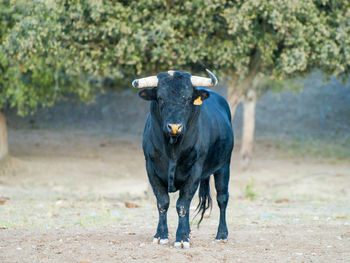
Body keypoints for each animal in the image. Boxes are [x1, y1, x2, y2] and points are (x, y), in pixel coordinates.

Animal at [136, 70, 232, 250]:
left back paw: (221, 235)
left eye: (187, 99)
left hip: (224, 165)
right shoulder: (151, 169)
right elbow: (163, 202)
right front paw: (161, 235)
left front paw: (181, 238)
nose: (174, 127)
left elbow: (182, 205)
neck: (173, 148)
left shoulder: (194, 171)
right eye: (160, 98)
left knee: (222, 198)